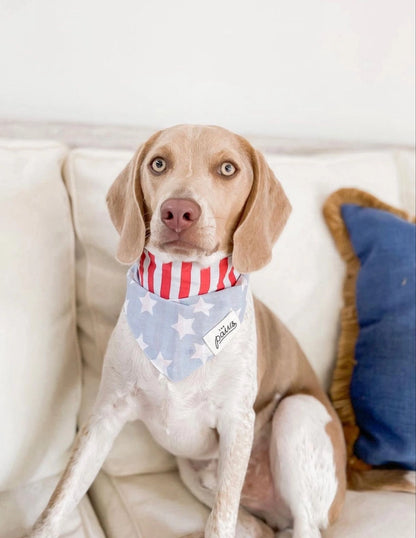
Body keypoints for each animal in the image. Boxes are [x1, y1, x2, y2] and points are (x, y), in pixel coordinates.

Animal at [30, 123, 348, 532]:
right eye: (158, 163)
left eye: (228, 168)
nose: (178, 211)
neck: (182, 294)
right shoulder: (104, 416)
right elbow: (59, 501)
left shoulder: (236, 423)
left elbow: (220, 523)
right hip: (195, 476)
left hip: (297, 410)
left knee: (303, 525)